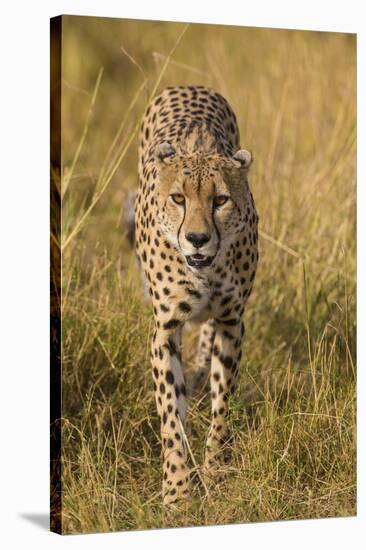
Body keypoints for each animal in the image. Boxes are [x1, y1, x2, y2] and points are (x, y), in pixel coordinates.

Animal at [134, 85, 258, 504]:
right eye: (178, 199)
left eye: (220, 200)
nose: (198, 238)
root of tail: (190, 86)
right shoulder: (165, 327)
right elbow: (171, 413)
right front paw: (177, 490)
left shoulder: (232, 320)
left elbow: (223, 404)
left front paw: (216, 471)